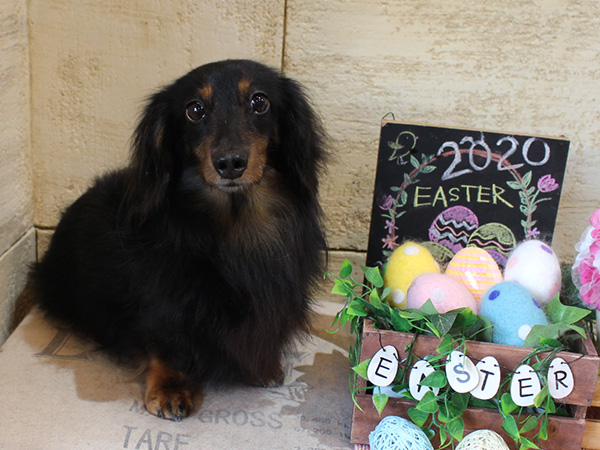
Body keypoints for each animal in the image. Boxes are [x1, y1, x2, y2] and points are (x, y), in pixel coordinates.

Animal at [33, 59, 328, 421]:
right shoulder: (166, 298)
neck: (238, 224)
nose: (230, 163)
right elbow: (169, 344)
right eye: (194, 110)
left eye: (259, 101)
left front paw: (263, 366)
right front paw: (170, 388)